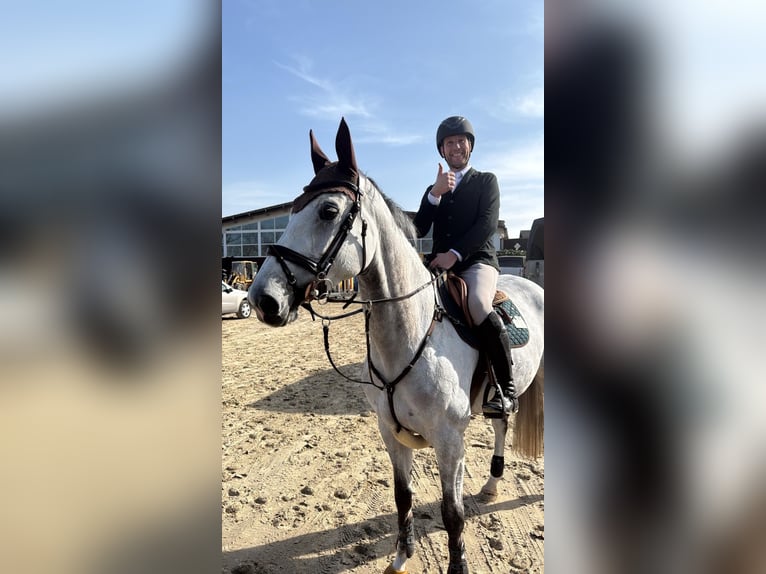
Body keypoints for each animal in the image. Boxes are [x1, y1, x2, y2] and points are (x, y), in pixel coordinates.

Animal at [249, 118, 544, 574]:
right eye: (292, 209)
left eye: (328, 211)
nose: (262, 299)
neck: (410, 335)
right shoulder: (390, 432)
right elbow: (402, 496)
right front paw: (402, 557)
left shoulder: (449, 440)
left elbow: (452, 514)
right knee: (500, 424)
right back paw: (492, 486)